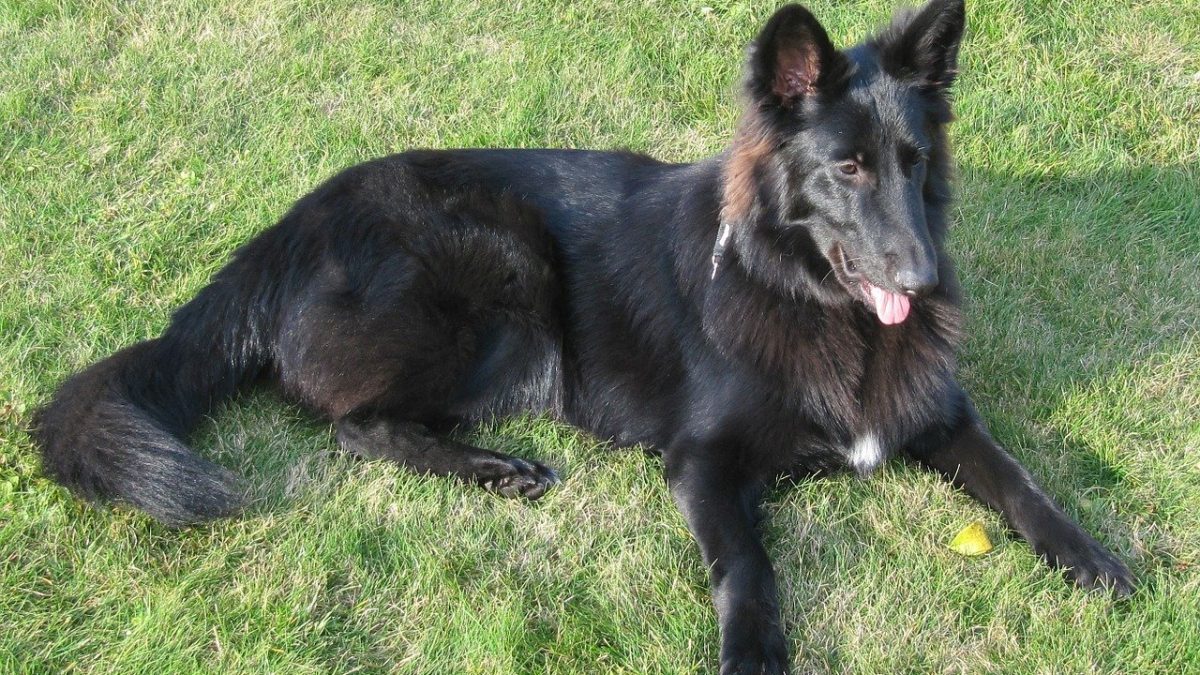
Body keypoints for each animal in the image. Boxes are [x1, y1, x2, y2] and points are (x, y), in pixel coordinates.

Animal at [30, 2, 1132, 667]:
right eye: (847, 168)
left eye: (912, 162)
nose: (922, 278)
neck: (811, 299)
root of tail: (289, 225)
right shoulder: (703, 460)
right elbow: (749, 563)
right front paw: (753, 649)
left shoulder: (941, 415)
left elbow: (1019, 478)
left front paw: (1090, 552)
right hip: (502, 266)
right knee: (351, 421)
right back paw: (493, 467)